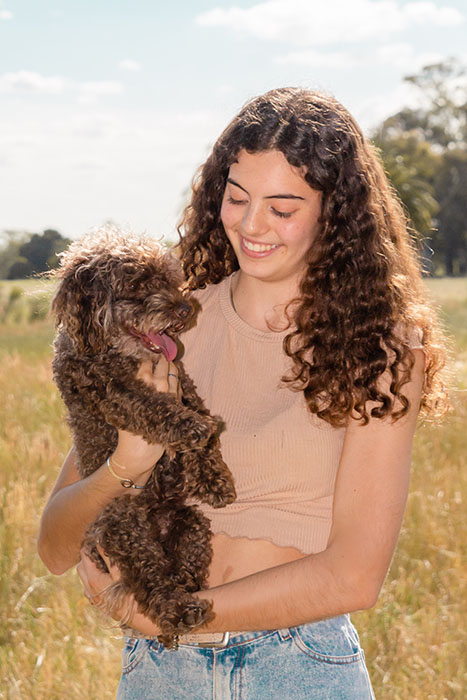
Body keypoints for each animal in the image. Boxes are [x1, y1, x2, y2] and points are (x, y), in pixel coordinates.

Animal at [50, 228, 238, 644]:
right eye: (136, 285)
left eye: (168, 277)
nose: (184, 309)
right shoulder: (109, 392)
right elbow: (153, 407)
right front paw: (190, 429)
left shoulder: (181, 379)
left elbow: (200, 416)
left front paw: (213, 478)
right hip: (124, 531)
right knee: (150, 584)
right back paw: (179, 612)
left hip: (190, 525)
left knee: (179, 572)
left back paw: (185, 602)